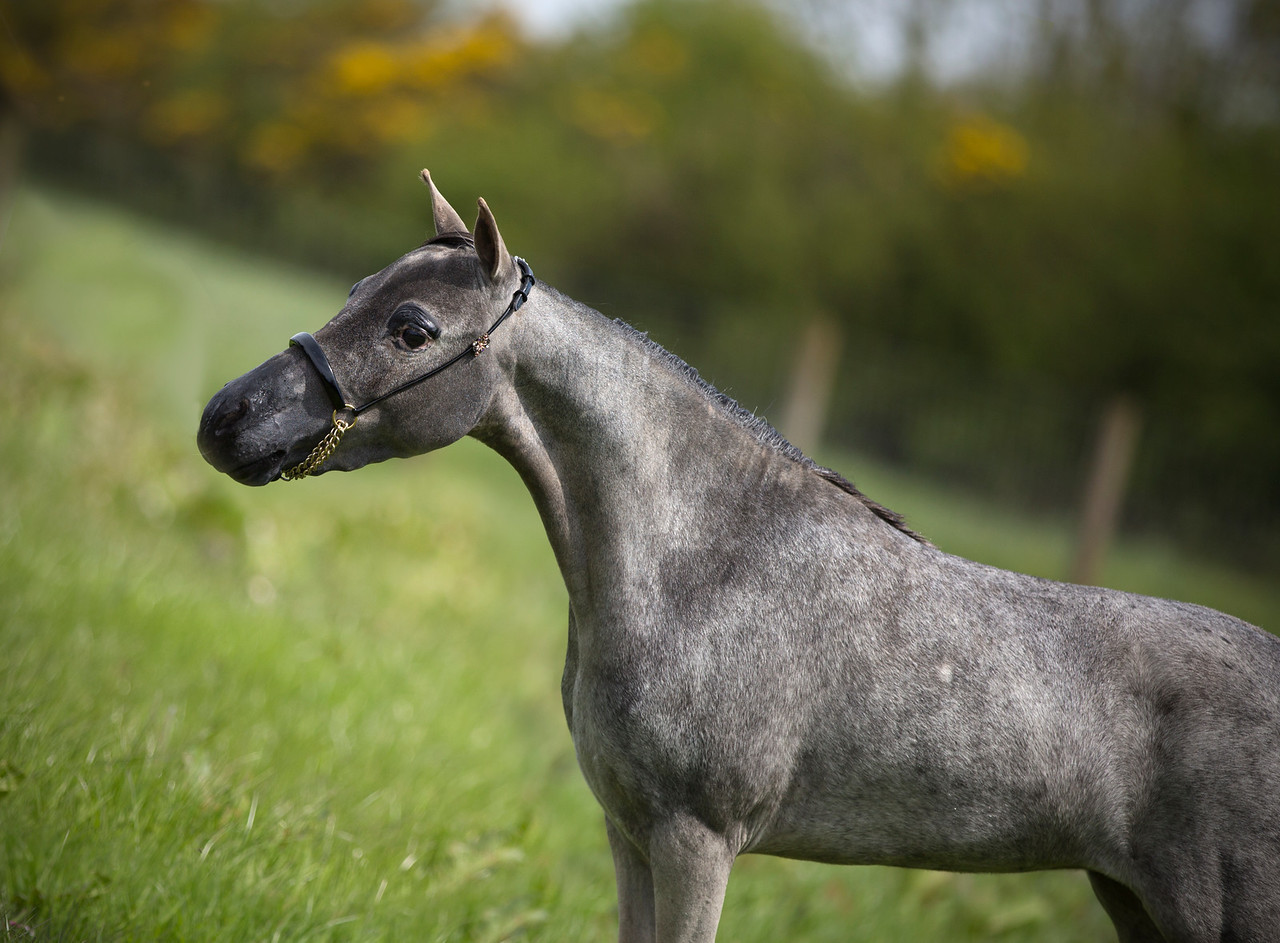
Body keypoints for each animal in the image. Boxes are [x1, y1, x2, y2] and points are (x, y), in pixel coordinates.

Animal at [198, 171, 1280, 943]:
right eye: (356, 291)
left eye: (412, 327)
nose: (226, 418)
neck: (705, 567)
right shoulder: (629, 834)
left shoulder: (696, 843)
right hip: (1131, 903)